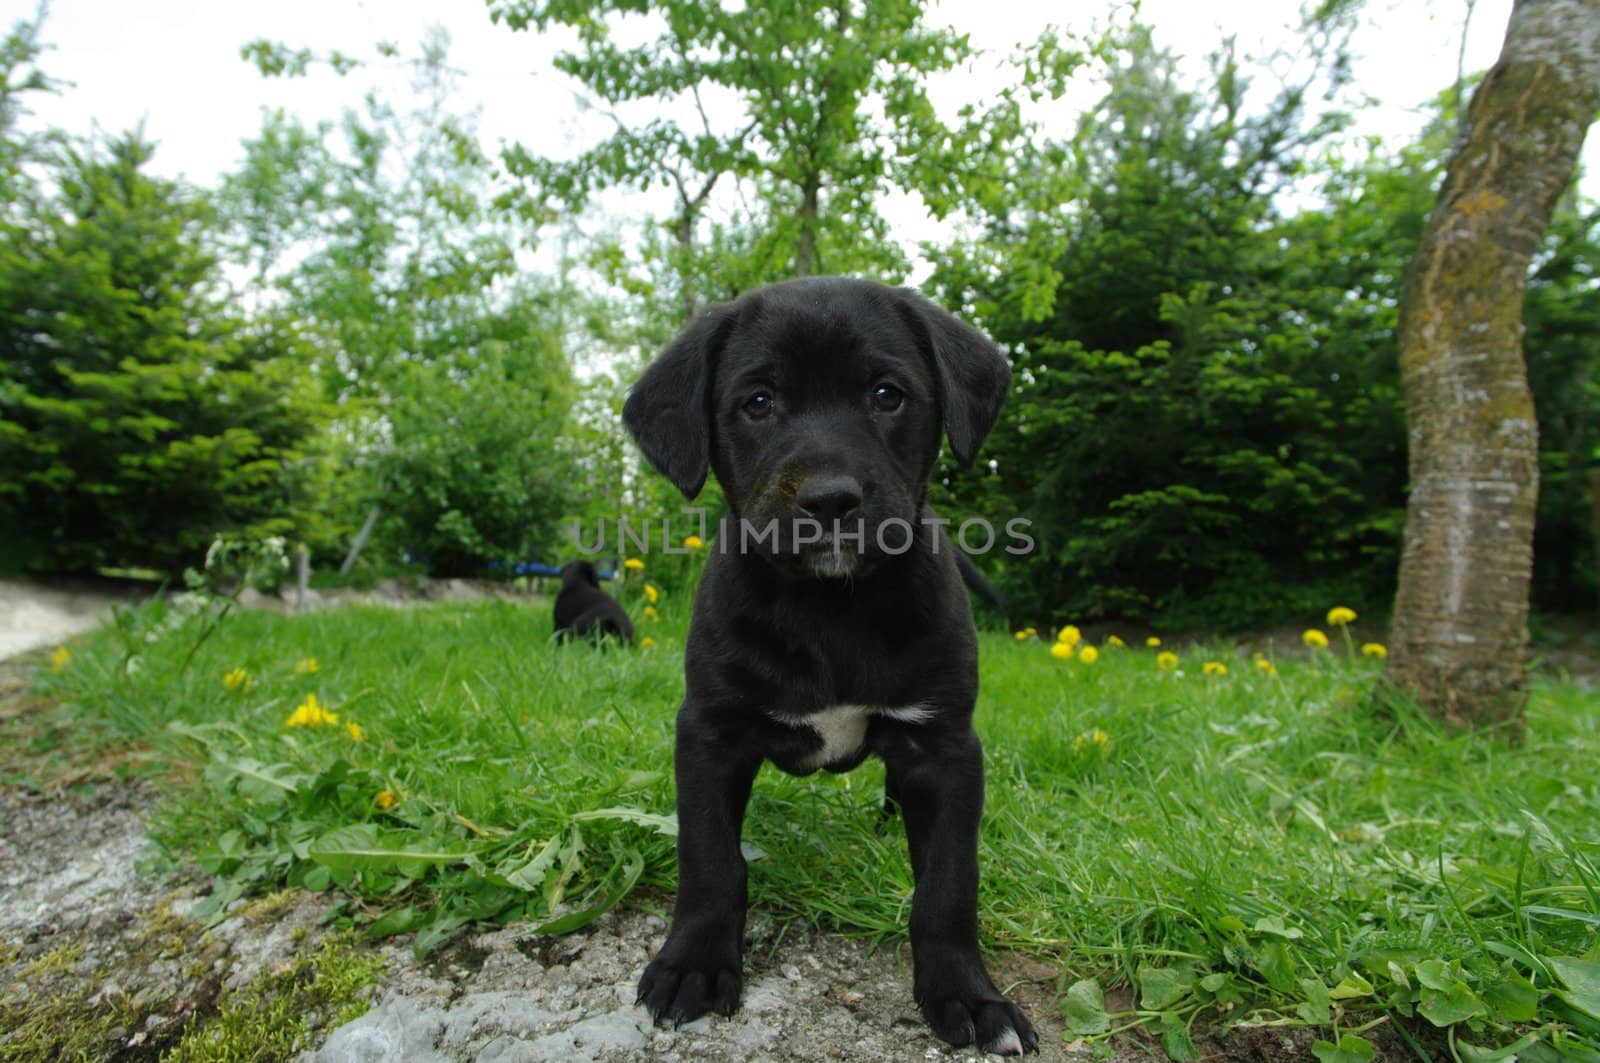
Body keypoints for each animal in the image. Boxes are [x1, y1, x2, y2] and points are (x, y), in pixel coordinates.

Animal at [617, 275, 1030, 1056]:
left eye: (887, 394)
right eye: (757, 402)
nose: (830, 499)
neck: (831, 608)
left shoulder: (945, 745)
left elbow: (948, 884)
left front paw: (967, 993)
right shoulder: (710, 733)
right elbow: (710, 859)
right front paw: (693, 964)